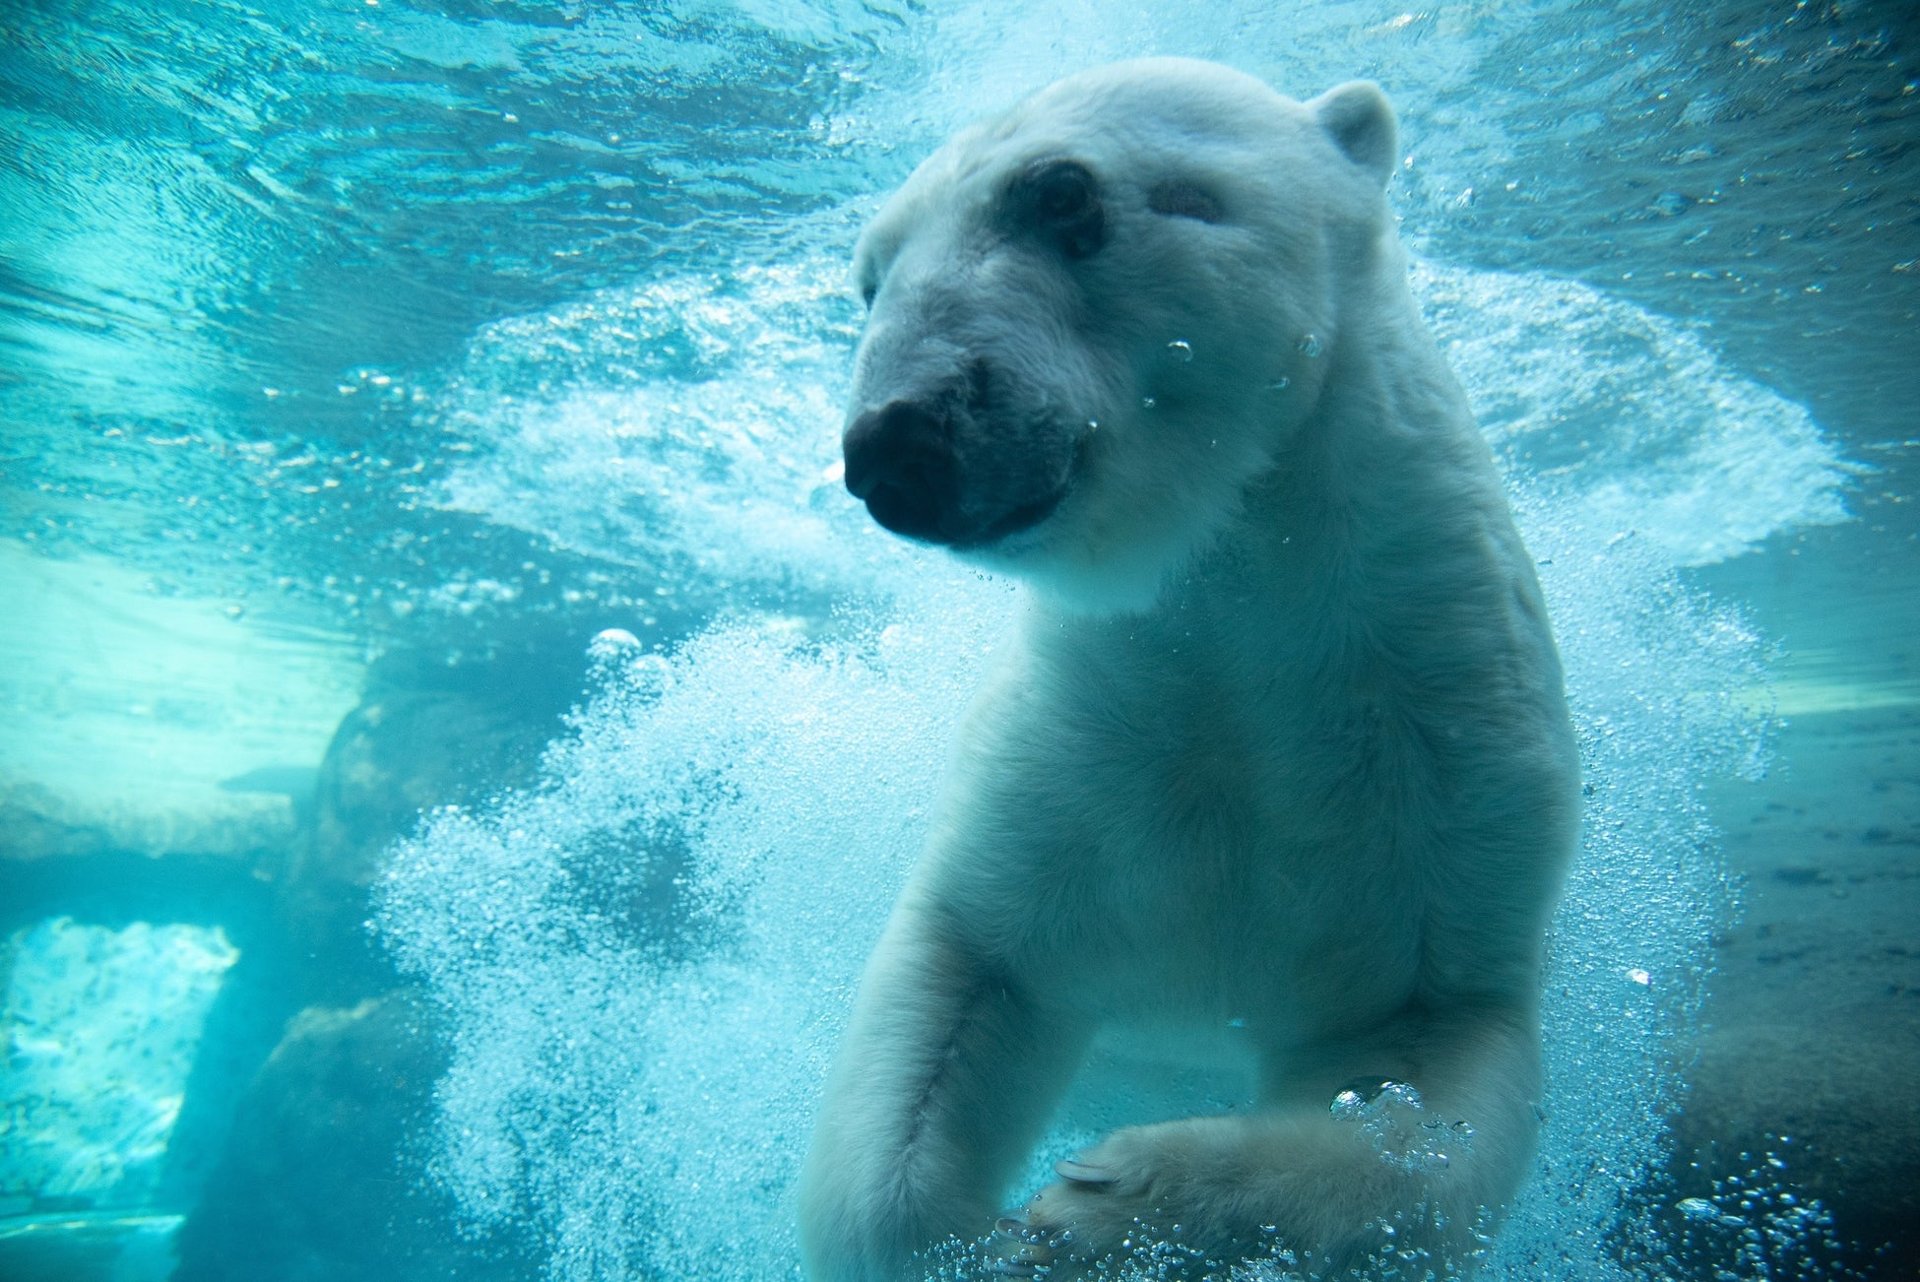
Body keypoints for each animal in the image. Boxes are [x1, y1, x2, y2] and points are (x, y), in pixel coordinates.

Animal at [798, 58, 1579, 1281]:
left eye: (1059, 191)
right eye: (868, 278)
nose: (899, 443)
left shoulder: (1440, 778)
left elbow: (1423, 1087)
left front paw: (1104, 1207)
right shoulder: (1080, 751)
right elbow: (961, 974)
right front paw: (966, 1235)